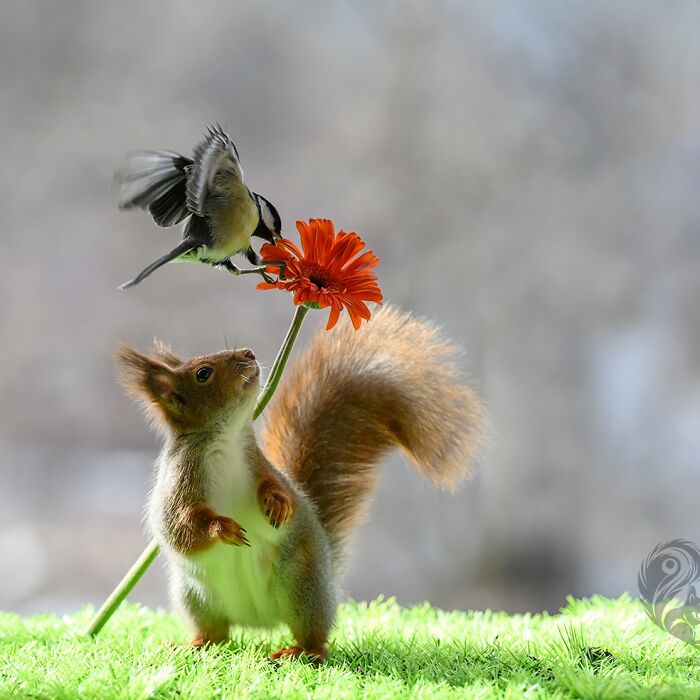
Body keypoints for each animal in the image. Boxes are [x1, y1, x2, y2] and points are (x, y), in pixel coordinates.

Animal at [116, 305, 485, 663]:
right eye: (203, 373)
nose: (248, 353)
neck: (227, 438)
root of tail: (258, 622)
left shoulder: (261, 466)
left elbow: (280, 490)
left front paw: (278, 504)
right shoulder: (179, 482)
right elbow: (180, 529)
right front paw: (223, 529)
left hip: (303, 588)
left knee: (313, 637)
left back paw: (299, 651)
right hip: (196, 596)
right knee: (216, 635)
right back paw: (193, 645)